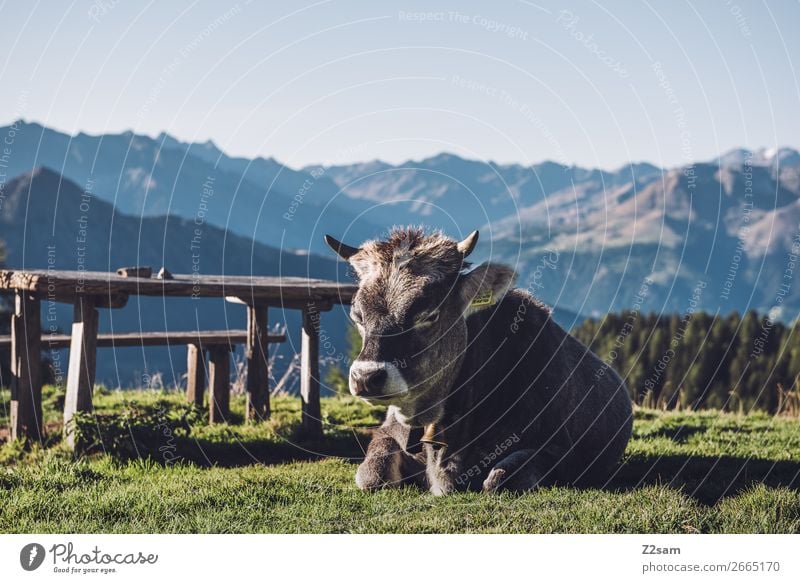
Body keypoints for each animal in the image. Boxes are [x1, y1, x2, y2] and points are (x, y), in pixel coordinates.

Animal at [324, 226, 632, 496]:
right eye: (358, 315)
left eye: (430, 314)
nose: (366, 377)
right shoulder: (389, 431)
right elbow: (372, 475)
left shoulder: (561, 449)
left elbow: (499, 480)